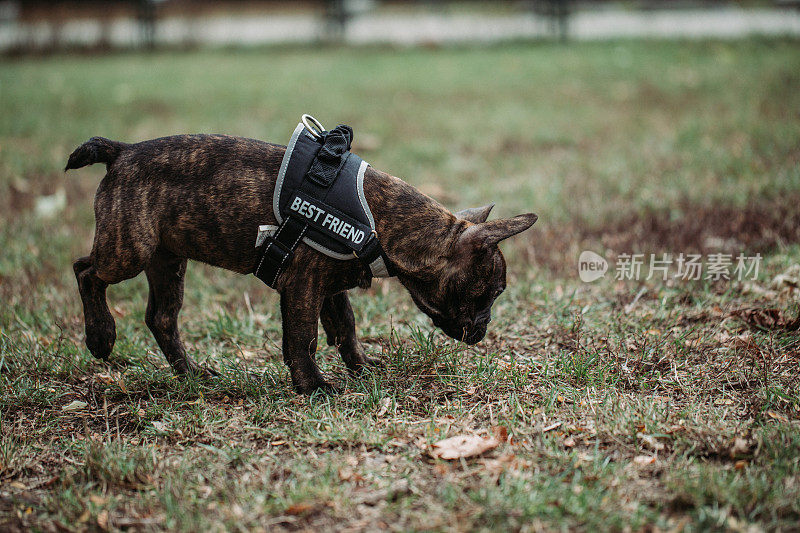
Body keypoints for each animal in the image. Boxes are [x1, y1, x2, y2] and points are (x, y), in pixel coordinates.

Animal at [64, 133, 536, 392]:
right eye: (490, 294)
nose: (484, 329)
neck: (382, 222)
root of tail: (123, 151)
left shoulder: (329, 287)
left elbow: (345, 327)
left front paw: (361, 367)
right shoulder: (303, 286)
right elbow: (302, 338)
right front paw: (314, 387)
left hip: (167, 261)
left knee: (162, 318)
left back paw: (192, 374)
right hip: (129, 249)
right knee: (86, 272)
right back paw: (101, 336)